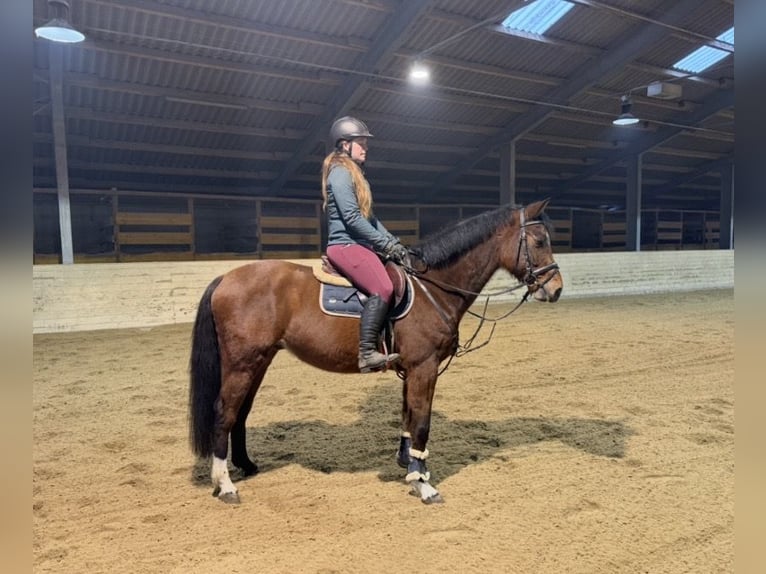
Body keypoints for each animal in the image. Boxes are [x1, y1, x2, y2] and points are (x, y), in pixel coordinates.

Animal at [188, 199, 563, 504]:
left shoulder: (411, 370)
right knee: (224, 412)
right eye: (539, 241)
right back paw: (225, 485)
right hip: (242, 363)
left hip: (259, 360)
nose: (556, 289)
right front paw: (423, 484)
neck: (432, 288)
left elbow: (408, 416)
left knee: (241, 412)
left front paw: (410, 465)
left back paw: (246, 466)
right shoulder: (424, 367)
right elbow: (422, 421)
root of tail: (225, 278)